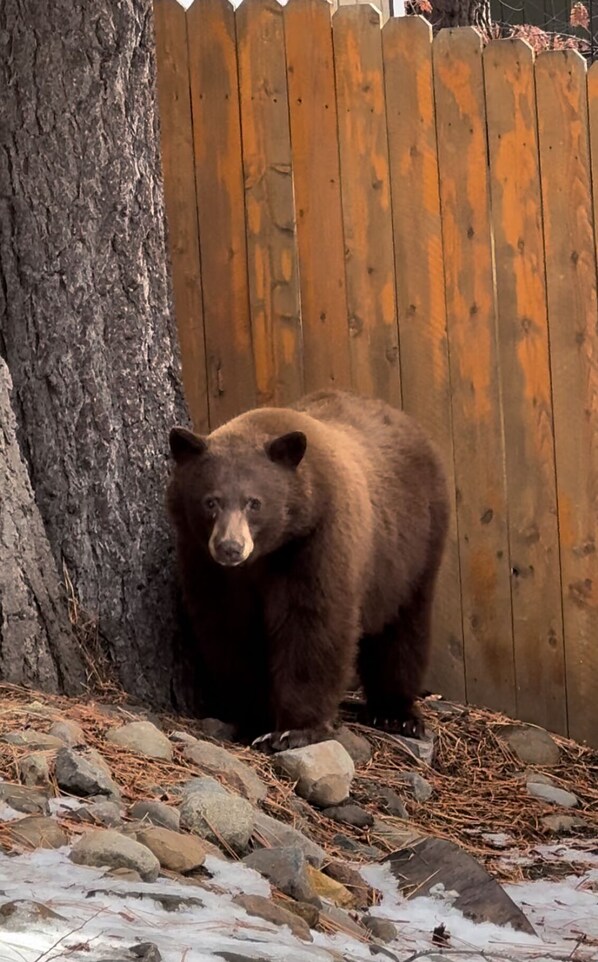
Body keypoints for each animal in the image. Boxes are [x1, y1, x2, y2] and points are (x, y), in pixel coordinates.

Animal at [167, 389, 449, 753]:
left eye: (254, 502)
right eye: (210, 501)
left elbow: (313, 624)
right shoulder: (204, 561)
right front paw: (253, 718)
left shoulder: (317, 541)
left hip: (415, 545)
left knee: (405, 626)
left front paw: (293, 730)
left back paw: (395, 712)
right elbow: (229, 629)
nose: (230, 548)